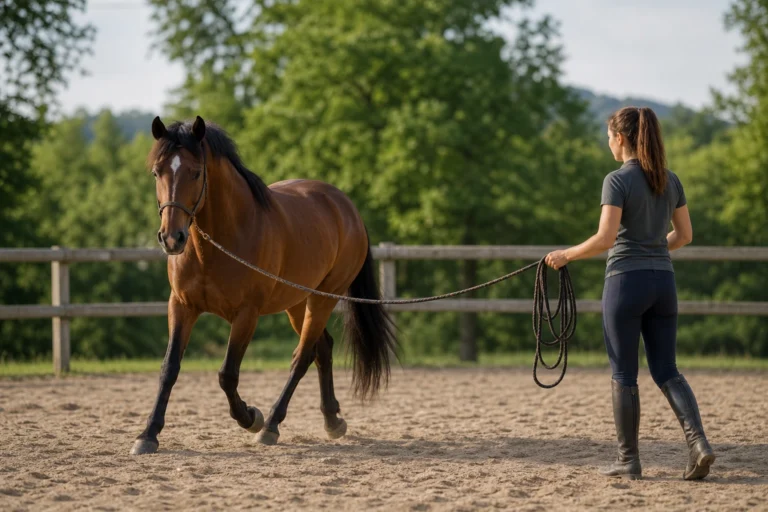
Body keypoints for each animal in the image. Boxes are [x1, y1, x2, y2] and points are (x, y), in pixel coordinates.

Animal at [130, 115, 398, 455]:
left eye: (196, 172)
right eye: (157, 172)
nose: (171, 238)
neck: (219, 243)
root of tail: (346, 207)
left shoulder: (247, 315)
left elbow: (227, 375)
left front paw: (250, 417)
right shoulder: (181, 306)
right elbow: (169, 369)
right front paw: (148, 434)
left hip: (323, 299)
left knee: (302, 357)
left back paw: (271, 424)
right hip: (297, 302)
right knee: (321, 349)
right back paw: (332, 419)